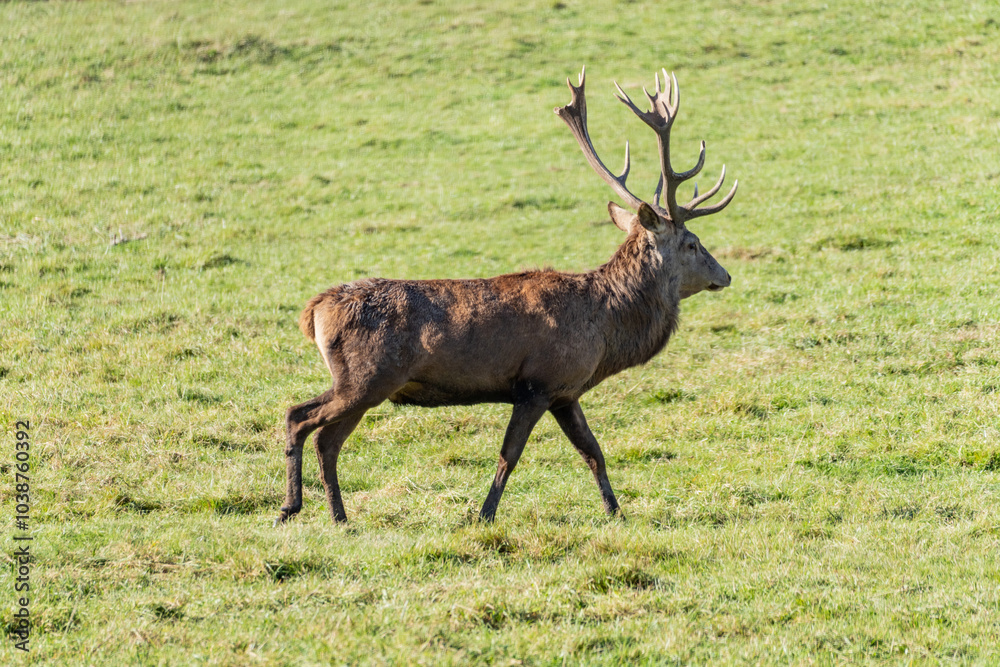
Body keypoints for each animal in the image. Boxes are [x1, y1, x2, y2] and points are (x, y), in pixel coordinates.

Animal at [275, 66, 737, 526]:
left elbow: (594, 453)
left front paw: (615, 511)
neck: (605, 328)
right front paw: (484, 515)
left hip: (364, 382)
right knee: (301, 418)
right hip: (366, 377)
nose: (725, 275)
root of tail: (314, 310)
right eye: (693, 243)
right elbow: (508, 456)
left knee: (325, 438)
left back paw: (338, 516)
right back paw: (290, 507)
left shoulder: (566, 393)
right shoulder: (538, 383)